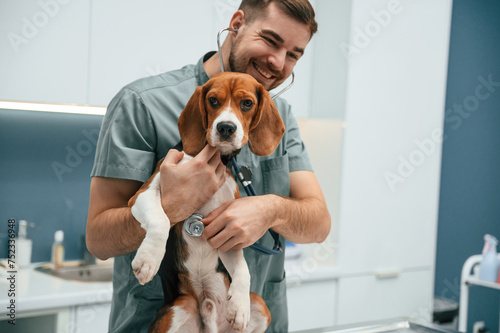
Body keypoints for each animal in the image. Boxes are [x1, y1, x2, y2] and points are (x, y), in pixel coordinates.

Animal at [128, 73, 286, 332]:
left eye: (247, 103)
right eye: (213, 100)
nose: (226, 127)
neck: (215, 157)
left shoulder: (227, 230)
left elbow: (243, 269)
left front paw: (239, 305)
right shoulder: (142, 194)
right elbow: (161, 220)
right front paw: (148, 259)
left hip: (262, 305)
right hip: (181, 304)